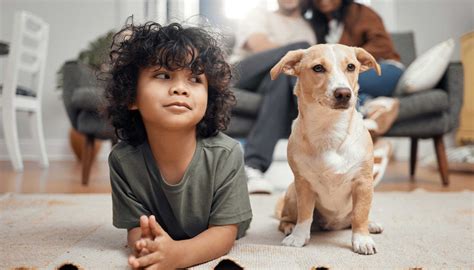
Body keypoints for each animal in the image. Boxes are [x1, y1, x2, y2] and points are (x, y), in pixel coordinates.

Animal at [272, 44, 384, 255]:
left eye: (351, 66)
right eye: (318, 68)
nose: (344, 93)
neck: (329, 129)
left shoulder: (363, 183)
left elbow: (360, 214)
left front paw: (362, 239)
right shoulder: (303, 184)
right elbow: (305, 215)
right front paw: (299, 237)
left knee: (355, 218)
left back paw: (371, 224)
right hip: (291, 193)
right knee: (285, 219)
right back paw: (290, 227)